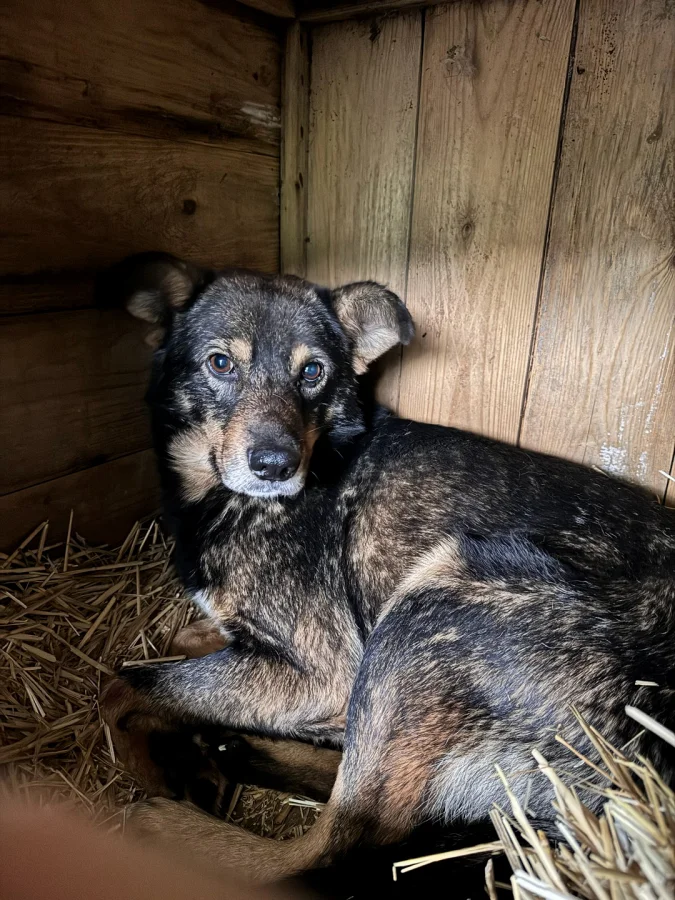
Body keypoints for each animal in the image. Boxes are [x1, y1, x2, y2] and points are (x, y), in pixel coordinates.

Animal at [101, 252, 675, 884]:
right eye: (220, 363)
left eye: (313, 372)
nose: (276, 465)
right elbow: (182, 643)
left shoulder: (325, 671)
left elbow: (125, 687)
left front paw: (147, 768)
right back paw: (233, 748)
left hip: (424, 612)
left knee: (339, 838)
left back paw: (174, 819)